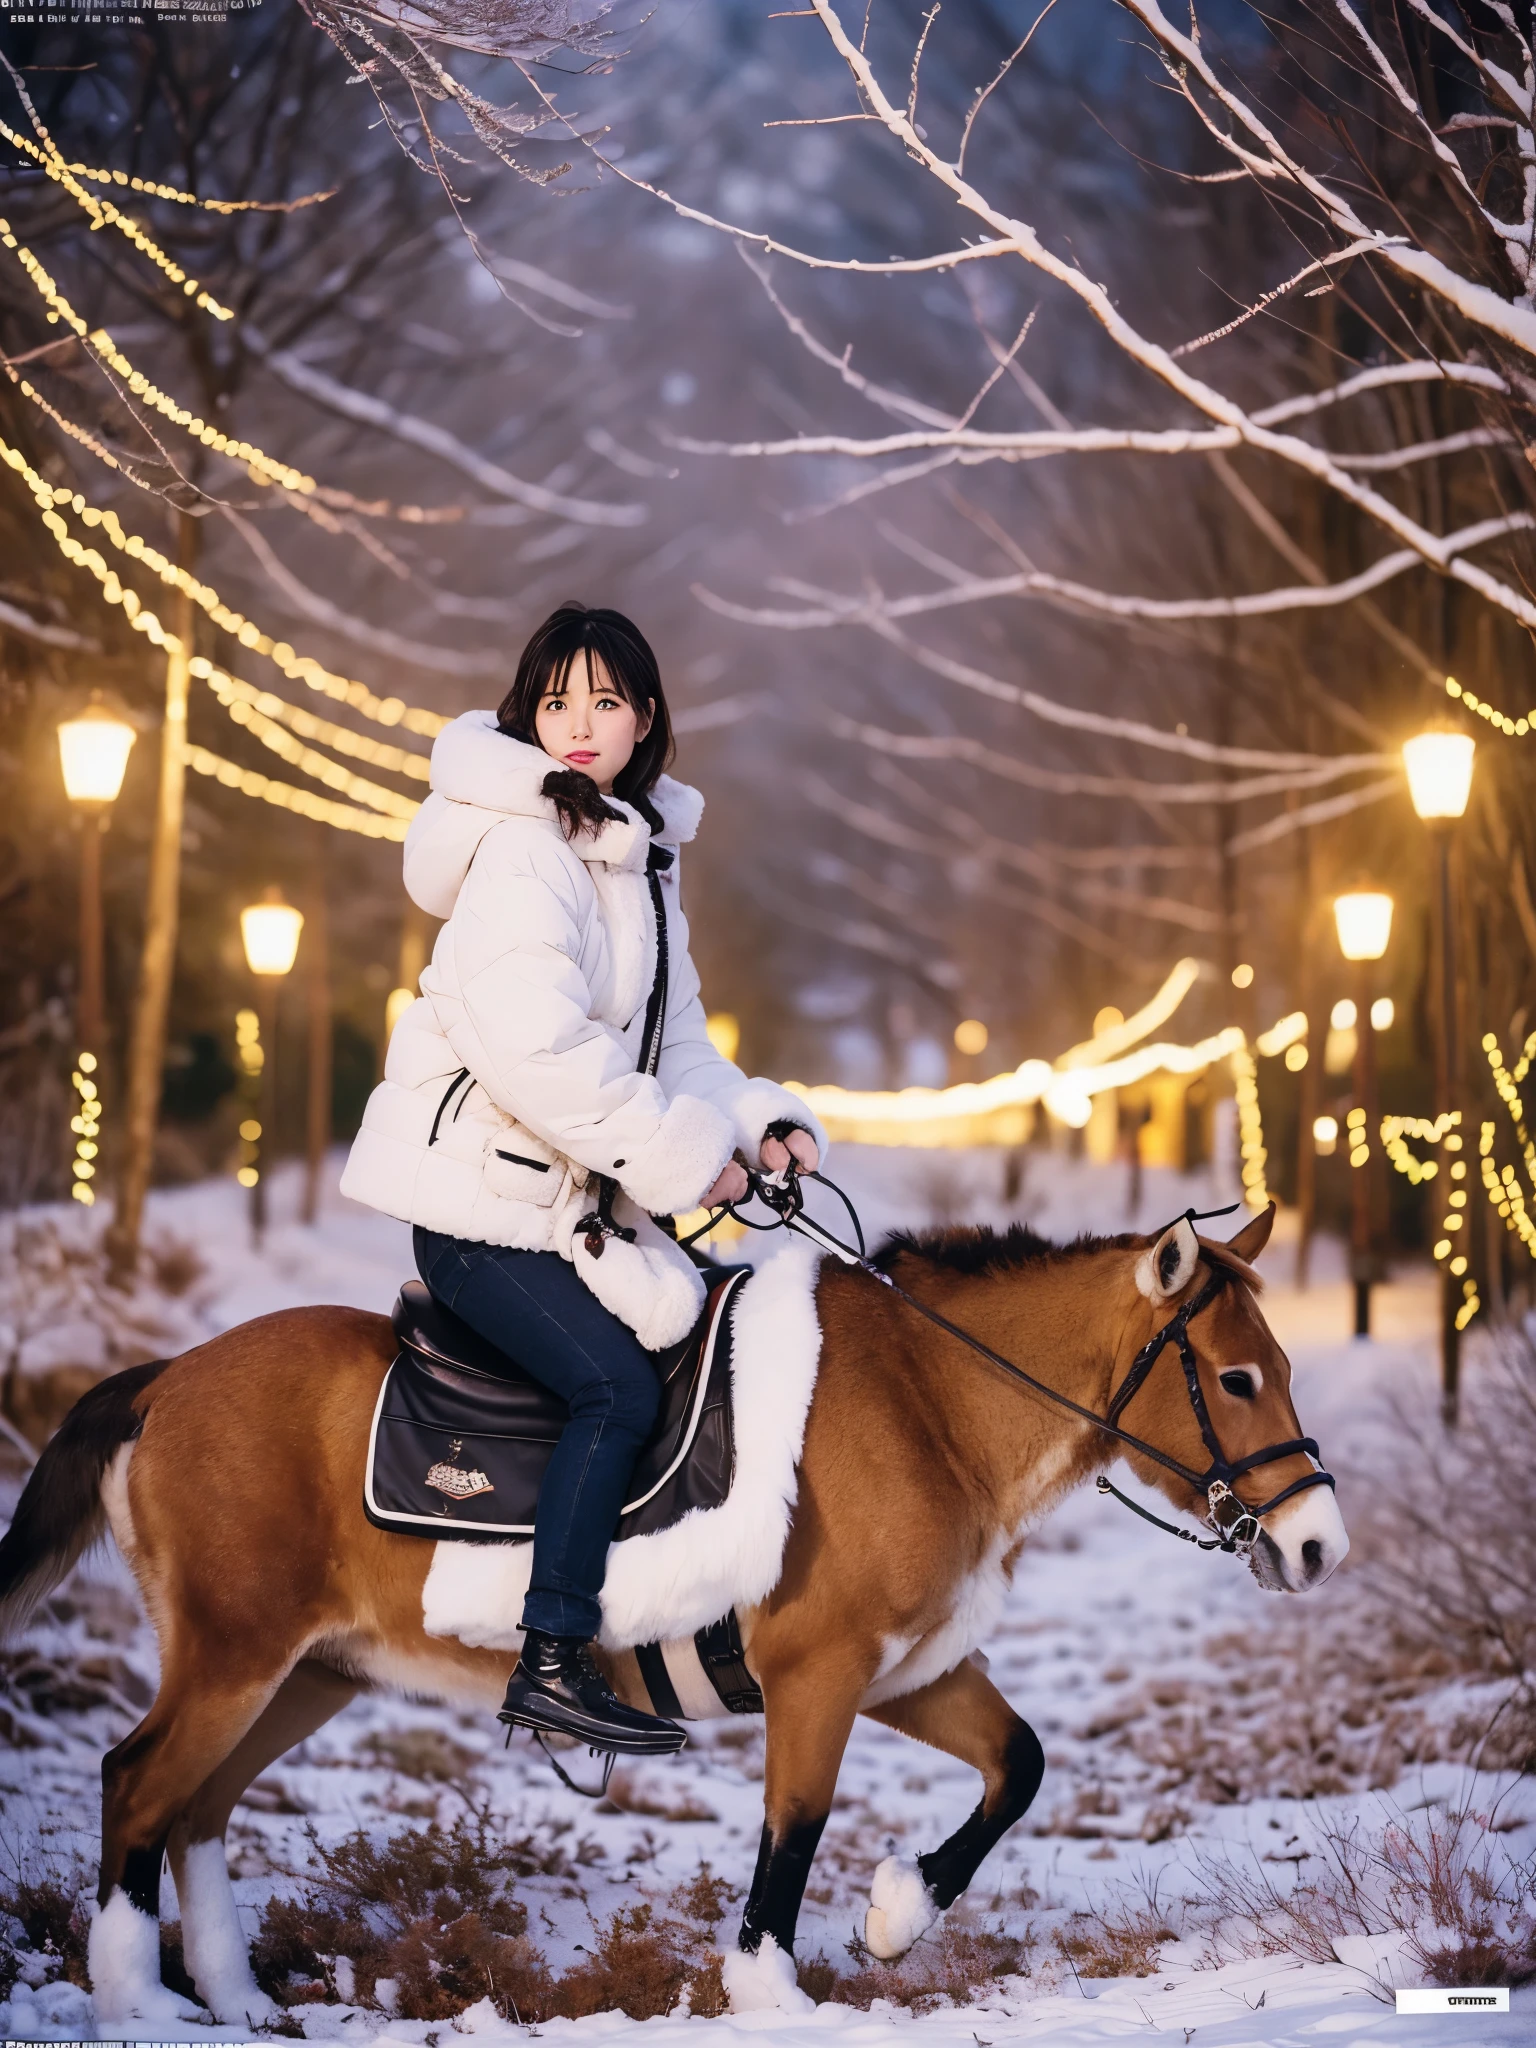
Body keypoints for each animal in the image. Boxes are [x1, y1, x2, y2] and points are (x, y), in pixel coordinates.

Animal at [0, 1204, 1343, 2023]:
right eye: (1235, 1376)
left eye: (1281, 1364)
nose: (1319, 1541)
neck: (928, 1401)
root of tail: (163, 1378)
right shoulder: (821, 1671)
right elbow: (795, 1825)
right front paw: (771, 1989)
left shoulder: (909, 1670)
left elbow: (1020, 1763)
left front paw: (899, 1913)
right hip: (236, 1652)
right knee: (138, 1780)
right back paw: (135, 1996)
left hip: (309, 1668)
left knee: (196, 1806)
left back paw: (231, 1996)